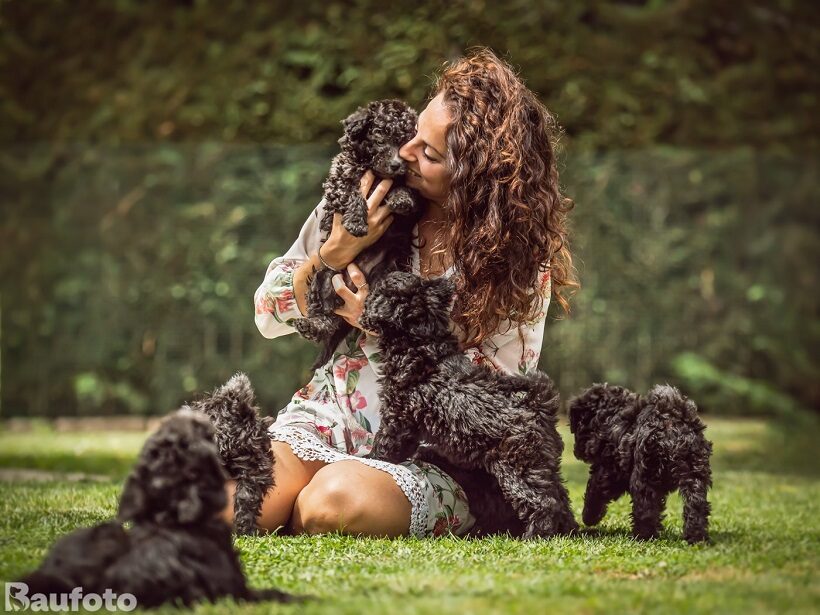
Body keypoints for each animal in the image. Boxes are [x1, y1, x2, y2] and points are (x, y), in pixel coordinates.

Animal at [294, 97, 422, 366]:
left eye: (405, 142)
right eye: (381, 138)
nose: (397, 164)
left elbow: (404, 189)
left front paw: (400, 197)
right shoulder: (341, 177)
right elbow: (353, 190)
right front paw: (356, 222)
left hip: (388, 273)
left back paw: (370, 316)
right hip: (322, 276)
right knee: (324, 314)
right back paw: (311, 326)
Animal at [358, 272, 576, 536]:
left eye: (378, 290)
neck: (422, 340)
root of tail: (540, 405)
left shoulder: (398, 416)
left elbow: (386, 444)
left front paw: (370, 458)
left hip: (518, 465)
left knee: (542, 501)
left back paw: (534, 535)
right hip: (542, 464)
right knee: (560, 496)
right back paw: (567, 530)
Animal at [572, 384, 712, 544]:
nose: (575, 451)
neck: (610, 416)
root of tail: (670, 420)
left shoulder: (609, 471)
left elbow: (594, 490)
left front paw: (588, 518)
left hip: (645, 473)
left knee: (645, 508)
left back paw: (642, 536)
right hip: (695, 472)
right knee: (695, 505)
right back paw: (696, 537)